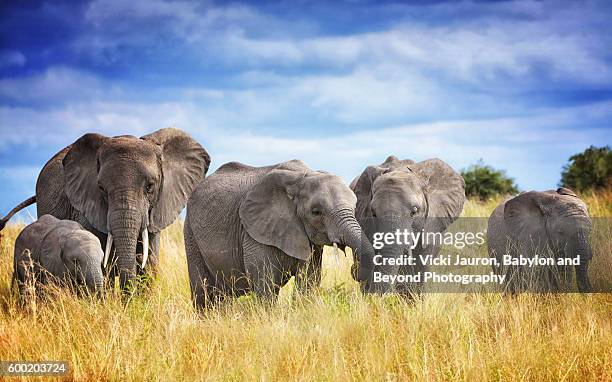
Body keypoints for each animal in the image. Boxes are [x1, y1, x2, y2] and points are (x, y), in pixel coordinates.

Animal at [182, 160, 376, 308]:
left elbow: (309, 279)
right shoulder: (254, 231)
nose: (354, 268)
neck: (302, 177)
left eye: (355, 207)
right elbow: (266, 282)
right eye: (316, 212)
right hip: (190, 232)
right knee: (203, 291)